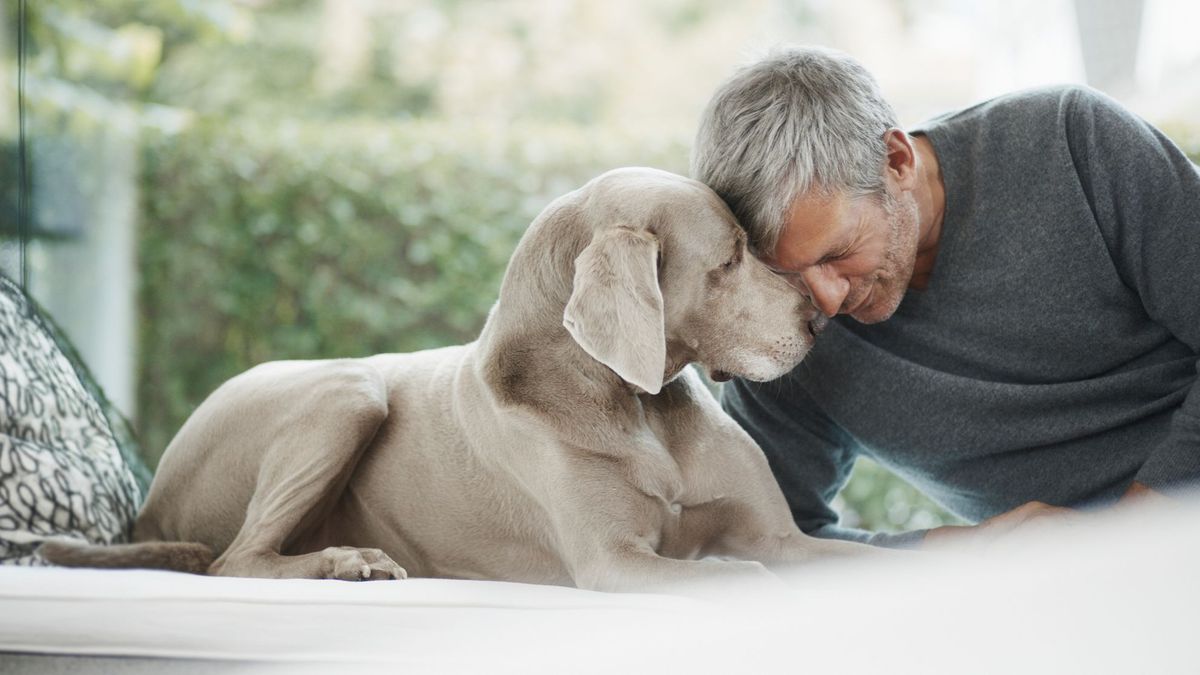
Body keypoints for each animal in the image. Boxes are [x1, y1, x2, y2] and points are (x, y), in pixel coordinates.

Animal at [44, 168, 873, 588]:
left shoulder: (779, 534)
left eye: (753, 242)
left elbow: (852, 560)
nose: (817, 319)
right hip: (349, 390)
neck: (635, 406)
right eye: (729, 257)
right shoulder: (615, 561)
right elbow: (739, 574)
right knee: (235, 559)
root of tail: (151, 509)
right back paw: (349, 561)